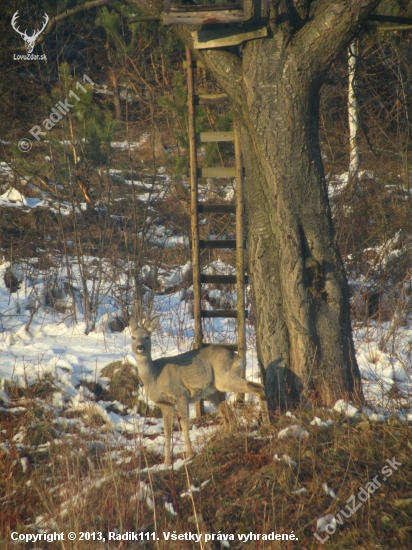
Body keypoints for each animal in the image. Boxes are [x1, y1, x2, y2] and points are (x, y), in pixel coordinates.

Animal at [130, 316, 268, 468]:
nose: (140, 347)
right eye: (133, 337)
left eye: (147, 336)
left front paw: (189, 455)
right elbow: (167, 431)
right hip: (215, 391)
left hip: (224, 378)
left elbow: (184, 424)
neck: (155, 377)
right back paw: (224, 437)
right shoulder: (165, 404)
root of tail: (239, 358)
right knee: (229, 414)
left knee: (258, 388)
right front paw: (166, 463)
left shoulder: (181, 394)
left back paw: (266, 423)